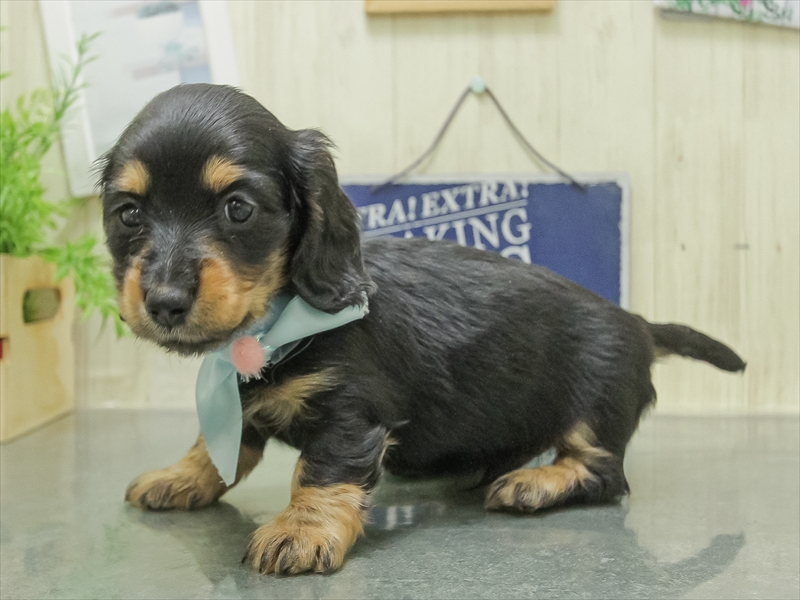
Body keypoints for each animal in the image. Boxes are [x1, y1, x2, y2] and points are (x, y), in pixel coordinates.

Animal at [100, 83, 745, 575]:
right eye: (128, 215)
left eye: (238, 208)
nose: (164, 302)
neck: (270, 330)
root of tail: (635, 321)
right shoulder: (243, 398)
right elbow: (219, 443)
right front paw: (181, 476)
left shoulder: (351, 414)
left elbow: (322, 470)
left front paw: (300, 531)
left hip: (594, 405)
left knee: (605, 470)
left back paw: (534, 484)